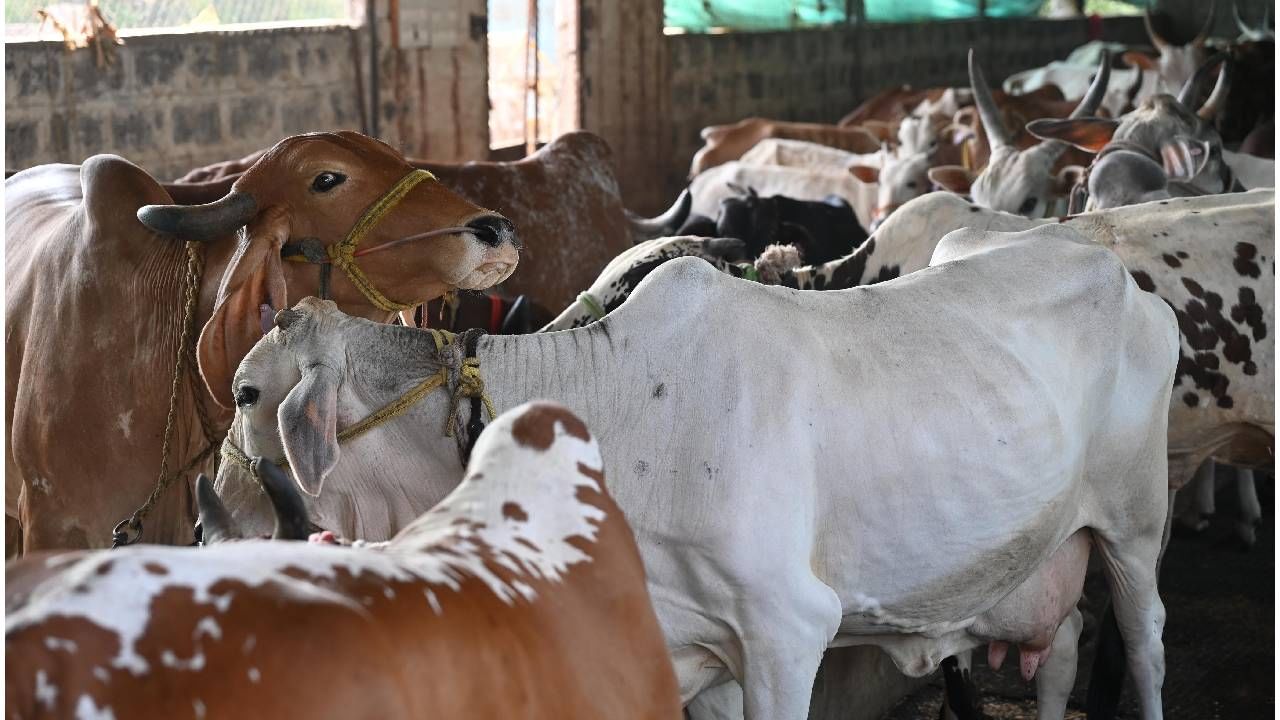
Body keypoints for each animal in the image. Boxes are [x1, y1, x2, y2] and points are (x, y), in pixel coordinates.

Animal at [212, 220, 1177, 717]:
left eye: (246, 391)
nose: (203, 522)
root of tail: (1120, 274)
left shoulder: (788, 632)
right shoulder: (699, 649)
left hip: (1134, 527)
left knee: (1143, 643)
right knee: (1062, 649)